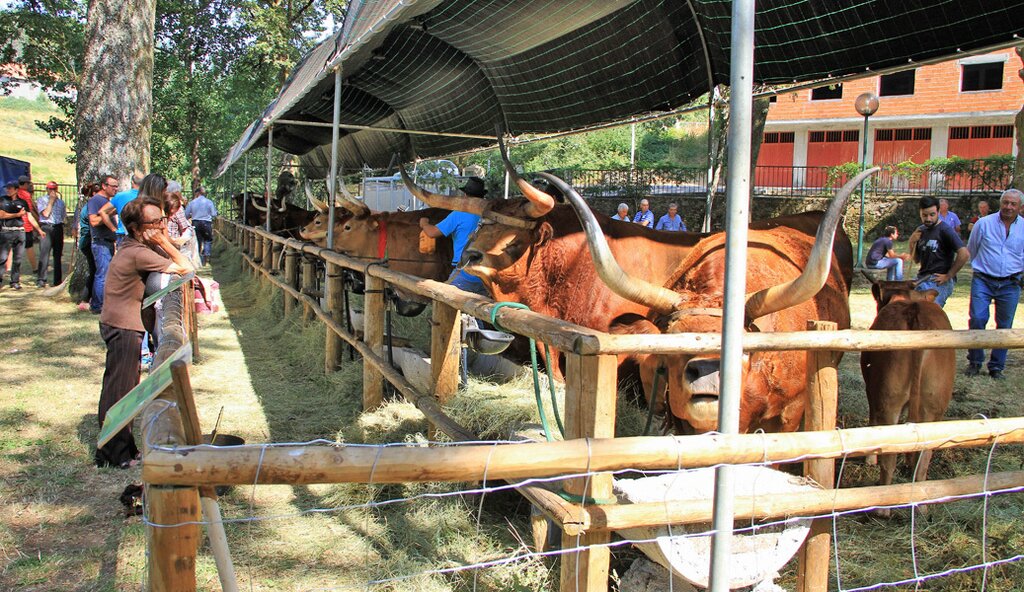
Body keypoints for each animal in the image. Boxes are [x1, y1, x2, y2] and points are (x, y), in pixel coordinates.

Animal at [860, 278, 954, 491]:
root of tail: (915, 314)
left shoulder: (871, 390)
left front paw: (870, 459)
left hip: (889, 399)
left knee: (890, 459)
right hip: (933, 406)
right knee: (923, 461)